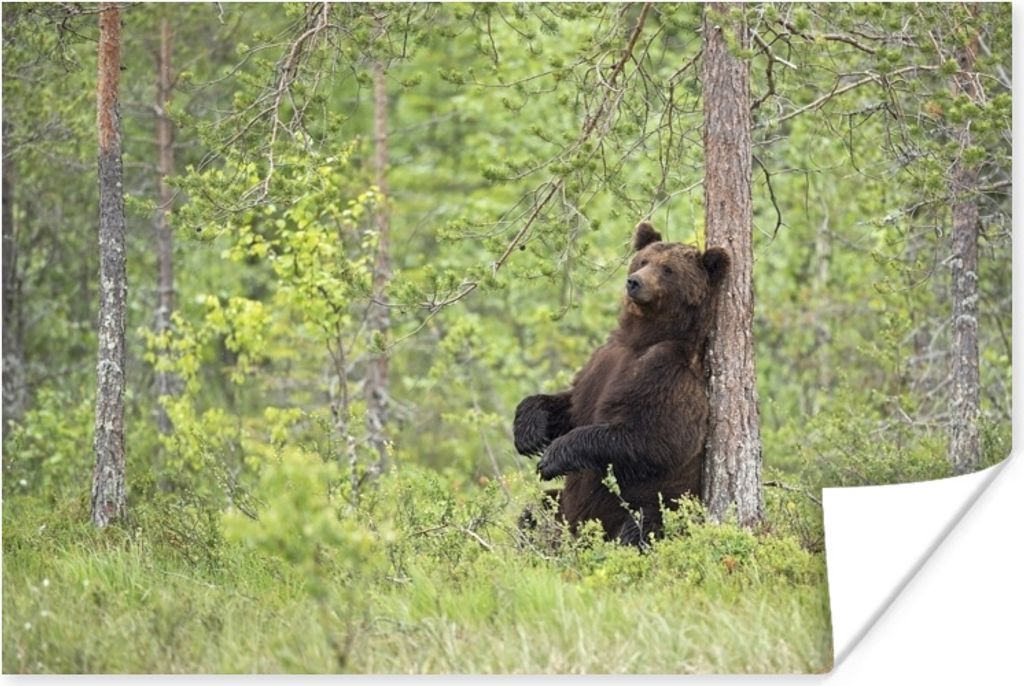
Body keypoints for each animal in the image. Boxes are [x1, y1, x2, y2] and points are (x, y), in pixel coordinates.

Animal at [513, 221, 729, 546]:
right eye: (643, 260)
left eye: (668, 269)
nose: (634, 282)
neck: (641, 336)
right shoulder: (602, 363)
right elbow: (572, 405)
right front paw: (529, 433)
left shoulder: (667, 372)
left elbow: (654, 438)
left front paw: (552, 458)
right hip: (561, 508)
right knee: (535, 509)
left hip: (653, 507)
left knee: (642, 526)